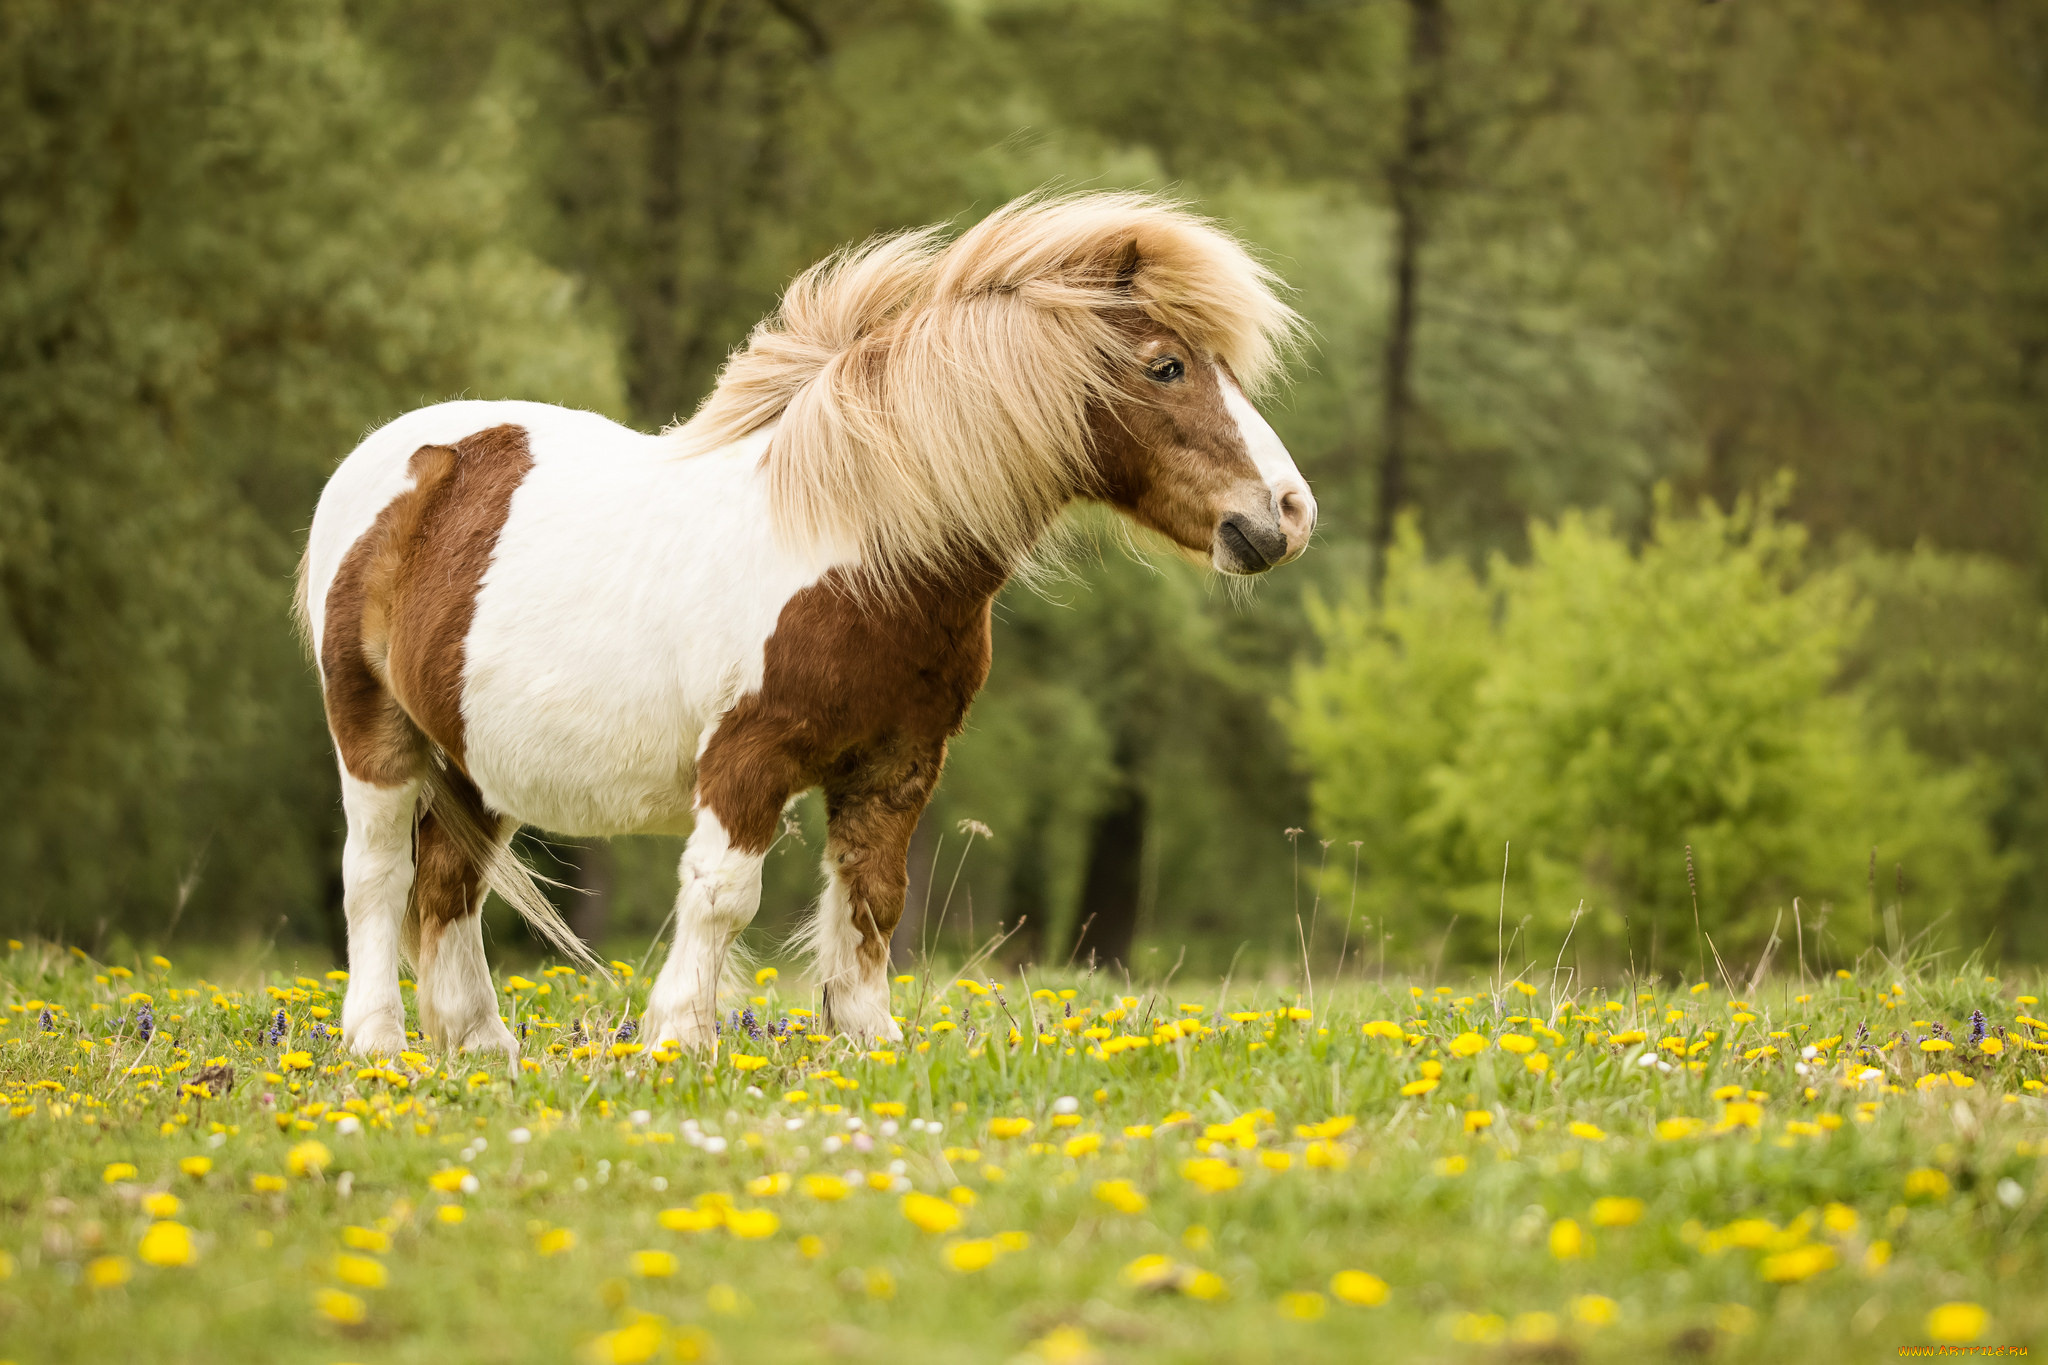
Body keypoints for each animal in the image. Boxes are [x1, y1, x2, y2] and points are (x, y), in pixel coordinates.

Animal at [296, 189, 1318, 1055]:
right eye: (1168, 366)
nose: (1288, 513)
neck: (859, 551)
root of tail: (403, 456)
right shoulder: (748, 757)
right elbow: (721, 893)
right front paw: (678, 1043)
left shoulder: (898, 765)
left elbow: (872, 895)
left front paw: (868, 1042)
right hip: (373, 732)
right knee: (378, 874)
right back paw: (378, 1046)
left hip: (477, 759)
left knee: (449, 883)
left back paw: (482, 1047)